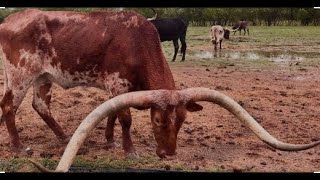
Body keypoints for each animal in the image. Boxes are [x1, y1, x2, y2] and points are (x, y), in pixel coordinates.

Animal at [0, 9, 202, 159]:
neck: (137, 43)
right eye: (158, 120)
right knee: (9, 106)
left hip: (43, 77)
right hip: (20, 75)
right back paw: (18, 145)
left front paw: (110, 139)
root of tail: (9, 20)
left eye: (182, 120)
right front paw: (130, 151)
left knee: (40, 105)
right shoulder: (117, 84)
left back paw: (64, 136)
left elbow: (112, 111)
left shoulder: (117, 89)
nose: (168, 154)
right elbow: (125, 119)